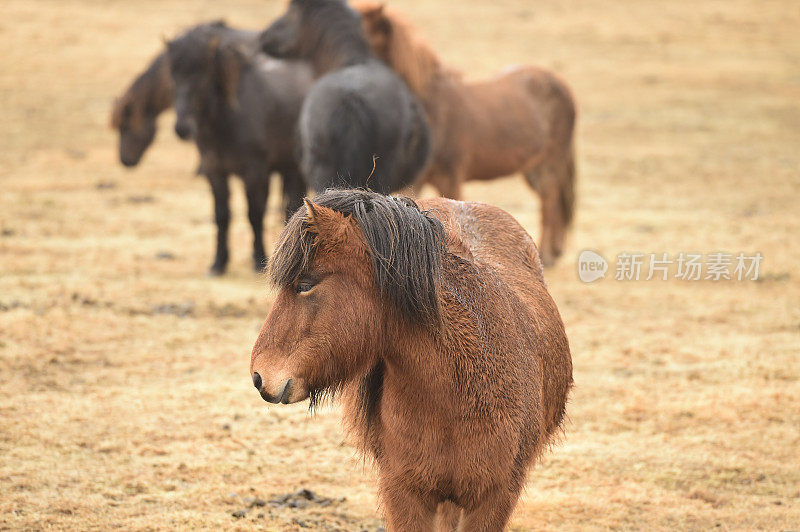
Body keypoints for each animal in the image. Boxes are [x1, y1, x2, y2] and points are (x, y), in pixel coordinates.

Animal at [167, 21, 314, 274]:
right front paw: (218, 263)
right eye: (174, 76)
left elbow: (254, 214)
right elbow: (221, 215)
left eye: (202, 76)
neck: (228, 121)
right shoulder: (215, 171)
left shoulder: (255, 174)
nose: (182, 128)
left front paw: (258, 259)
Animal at [360, 4, 580, 268]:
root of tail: (560, 84)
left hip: (550, 163)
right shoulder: (417, 181)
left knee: (550, 201)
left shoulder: (451, 178)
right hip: (533, 169)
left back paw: (547, 254)